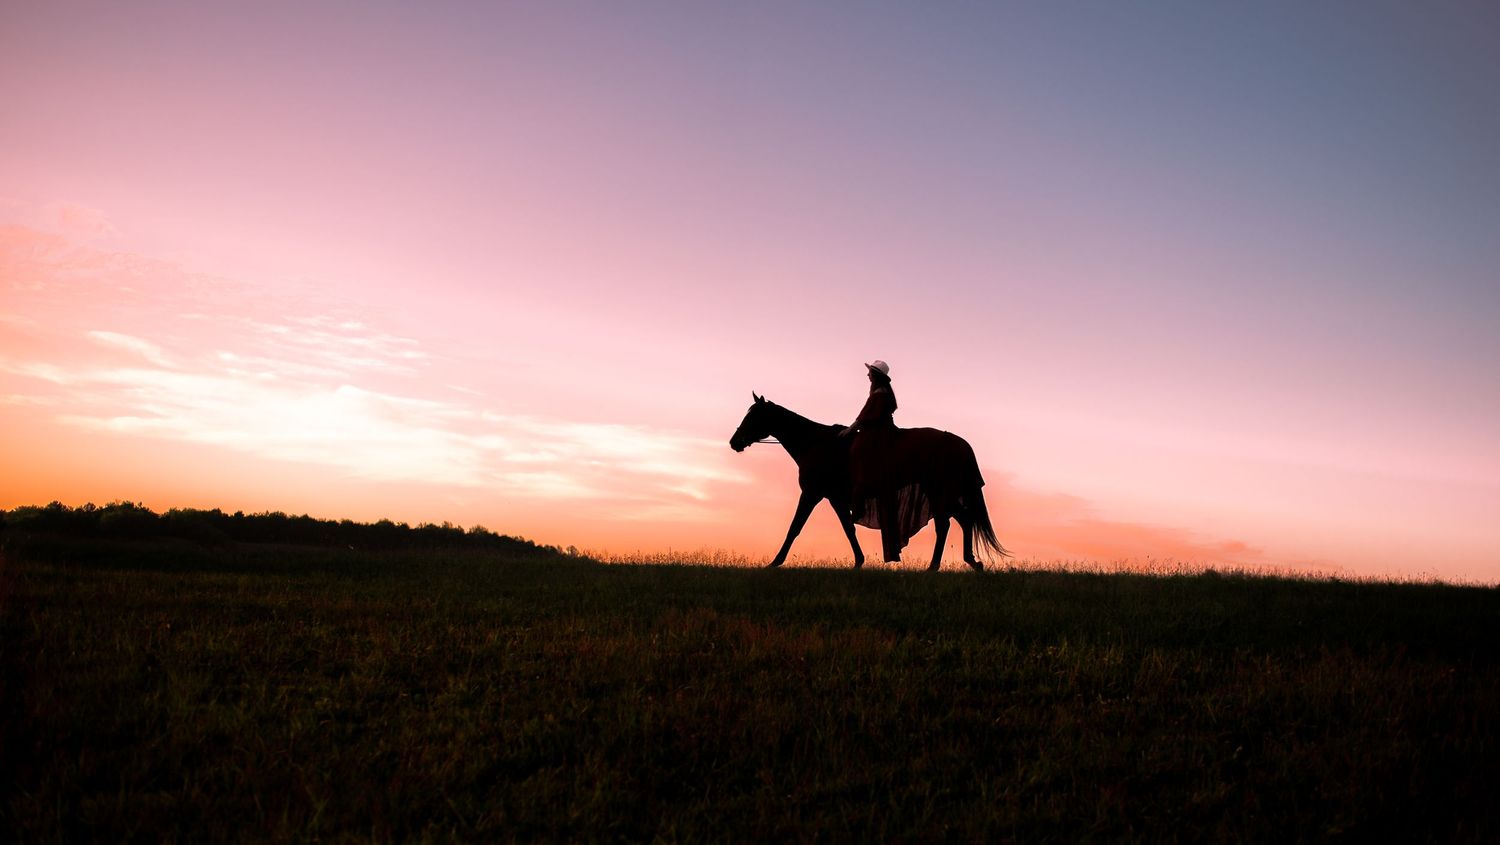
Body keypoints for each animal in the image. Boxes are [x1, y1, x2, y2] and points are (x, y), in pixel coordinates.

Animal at [729, 393, 1009, 571]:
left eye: (754, 416)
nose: (734, 442)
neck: (816, 443)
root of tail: (959, 443)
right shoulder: (835, 497)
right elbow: (848, 528)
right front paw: (859, 561)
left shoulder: (811, 493)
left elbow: (794, 527)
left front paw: (775, 562)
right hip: (940, 492)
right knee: (962, 520)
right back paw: (971, 562)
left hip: (939, 490)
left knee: (946, 524)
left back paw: (935, 566)